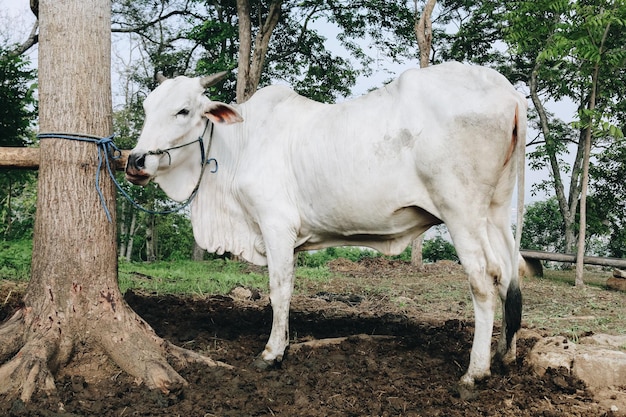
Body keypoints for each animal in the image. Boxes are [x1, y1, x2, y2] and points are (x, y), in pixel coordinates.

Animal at [127, 61, 528, 394]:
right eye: (147, 108)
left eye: (183, 110)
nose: (135, 161)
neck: (238, 146)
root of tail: (508, 93)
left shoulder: (276, 225)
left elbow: (279, 290)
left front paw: (271, 353)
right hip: (494, 210)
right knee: (509, 275)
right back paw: (504, 355)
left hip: (461, 211)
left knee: (484, 279)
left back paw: (475, 372)